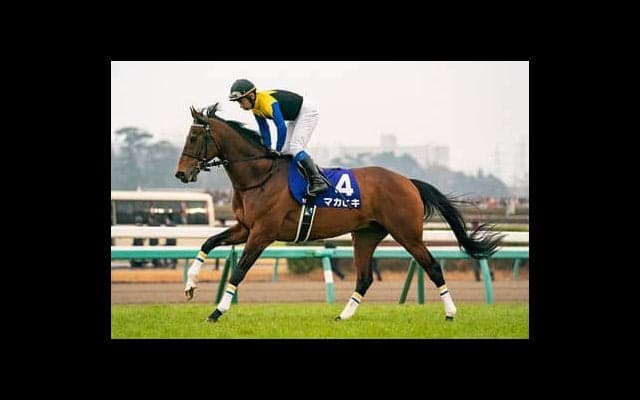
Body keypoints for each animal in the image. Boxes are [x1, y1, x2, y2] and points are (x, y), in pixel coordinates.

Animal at [175, 104, 503, 322]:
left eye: (194, 138)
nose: (180, 174)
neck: (259, 175)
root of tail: (408, 181)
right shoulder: (244, 227)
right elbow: (207, 243)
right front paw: (190, 286)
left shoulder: (263, 233)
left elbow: (240, 270)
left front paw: (217, 311)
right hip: (366, 234)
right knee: (364, 278)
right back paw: (343, 316)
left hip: (407, 233)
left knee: (432, 266)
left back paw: (451, 313)